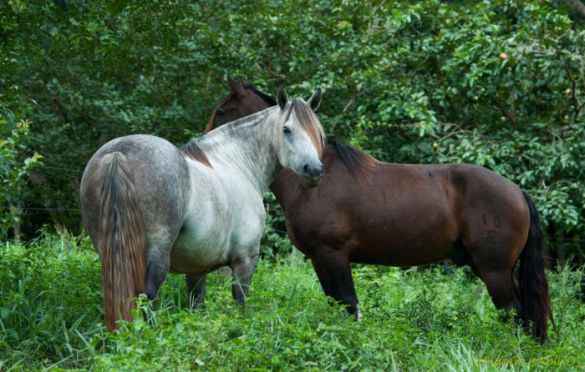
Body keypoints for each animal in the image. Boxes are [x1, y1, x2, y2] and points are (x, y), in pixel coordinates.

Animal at [78, 87, 324, 328]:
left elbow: (196, 307)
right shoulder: (245, 259)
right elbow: (240, 301)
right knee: (148, 297)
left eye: (317, 133)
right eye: (286, 130)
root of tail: (118, 153)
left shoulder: (196, 270)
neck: (238, 163)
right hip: (156, 253)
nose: (313, 170)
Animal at [209, 77, 552, 342]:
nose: (204, 140)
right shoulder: (319, 258)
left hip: (494, 270)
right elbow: (336, 304)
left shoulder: (333, 254)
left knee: (515, 312)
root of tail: (517, 191)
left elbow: (349, 305)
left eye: (222, 110)